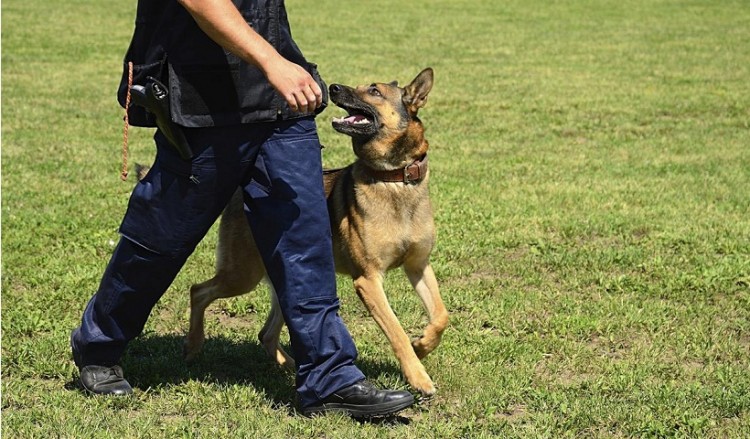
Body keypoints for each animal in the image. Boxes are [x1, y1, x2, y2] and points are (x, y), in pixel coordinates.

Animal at [186, 69, 450, 398]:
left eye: (374, 91)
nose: (333, 87)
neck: (394, 178)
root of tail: (242, 192)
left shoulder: (418, 266)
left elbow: (441, 316)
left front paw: (423, 345)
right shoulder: (368, 280)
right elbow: (396, 331)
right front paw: (417, 375)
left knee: (266, 333)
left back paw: (291, 368)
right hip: (242, 274)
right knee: (198, 291)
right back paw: (193, 346)